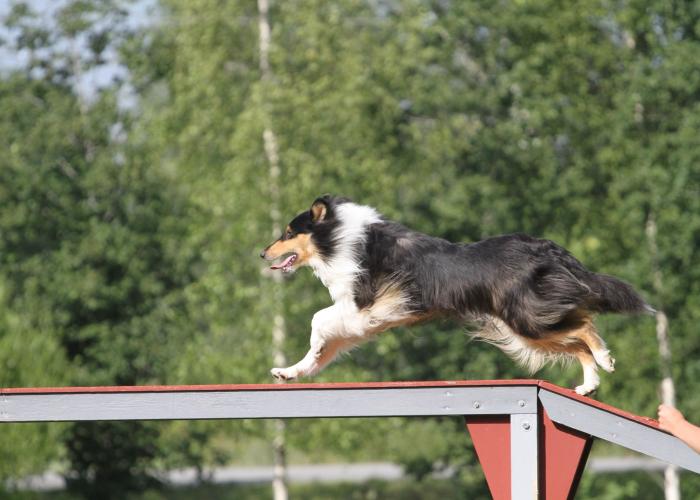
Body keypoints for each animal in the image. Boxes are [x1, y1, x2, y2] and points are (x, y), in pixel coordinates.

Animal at [260, 195, 652, 394]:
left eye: (288, 232)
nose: (262, 254)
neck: (339, 238)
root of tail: (547, 247)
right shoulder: (363, 321)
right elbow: (323, 347)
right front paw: (291, 372)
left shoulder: (363, 306)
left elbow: (318, 321)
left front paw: (302, 360)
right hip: (525, 329)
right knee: (577, 337)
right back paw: (589, 383)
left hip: (525, 319)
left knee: (585, 327)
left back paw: (605, 359)